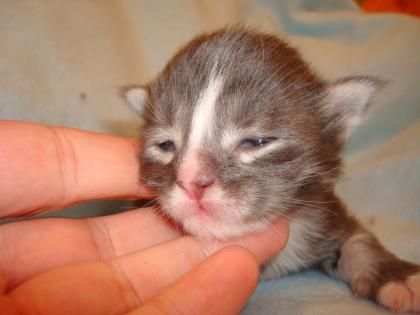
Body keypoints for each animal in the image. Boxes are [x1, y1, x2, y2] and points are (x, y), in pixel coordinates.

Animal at [124, 27, 420, 314]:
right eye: (165, 145)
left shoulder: (324, 210)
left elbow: (360, 241)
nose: (191, 181)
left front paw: (398, 276)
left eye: (256, 142)